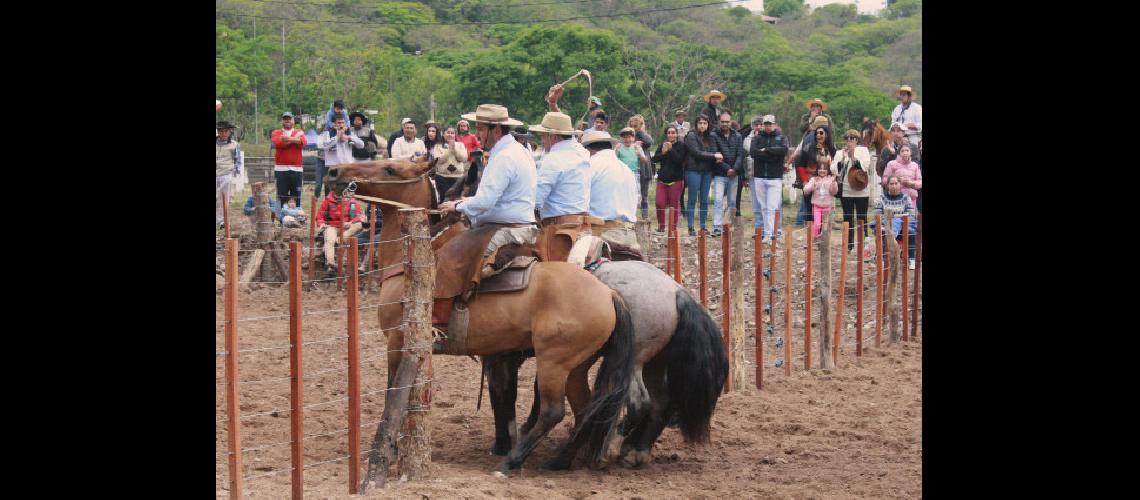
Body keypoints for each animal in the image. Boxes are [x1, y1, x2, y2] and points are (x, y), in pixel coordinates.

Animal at [326, 161, 638, 473]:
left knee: (554, 411)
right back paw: (559, 460)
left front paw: (387, 451)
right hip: (576, 367)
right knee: (585, 409)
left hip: (554, 362)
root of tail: (609, 293)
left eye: (390, 169)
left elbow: (393, 393)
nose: (333, 172)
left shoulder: (397, 341)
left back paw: (512, 462)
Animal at [485, 260, 725, 471]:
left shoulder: (502, 357)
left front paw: (503, 444)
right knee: (660, 404)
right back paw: (635, 451)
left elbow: (502, 395)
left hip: (635, 362)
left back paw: (608, 449)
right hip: (654, 365)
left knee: (638, 404)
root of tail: (676, 293)